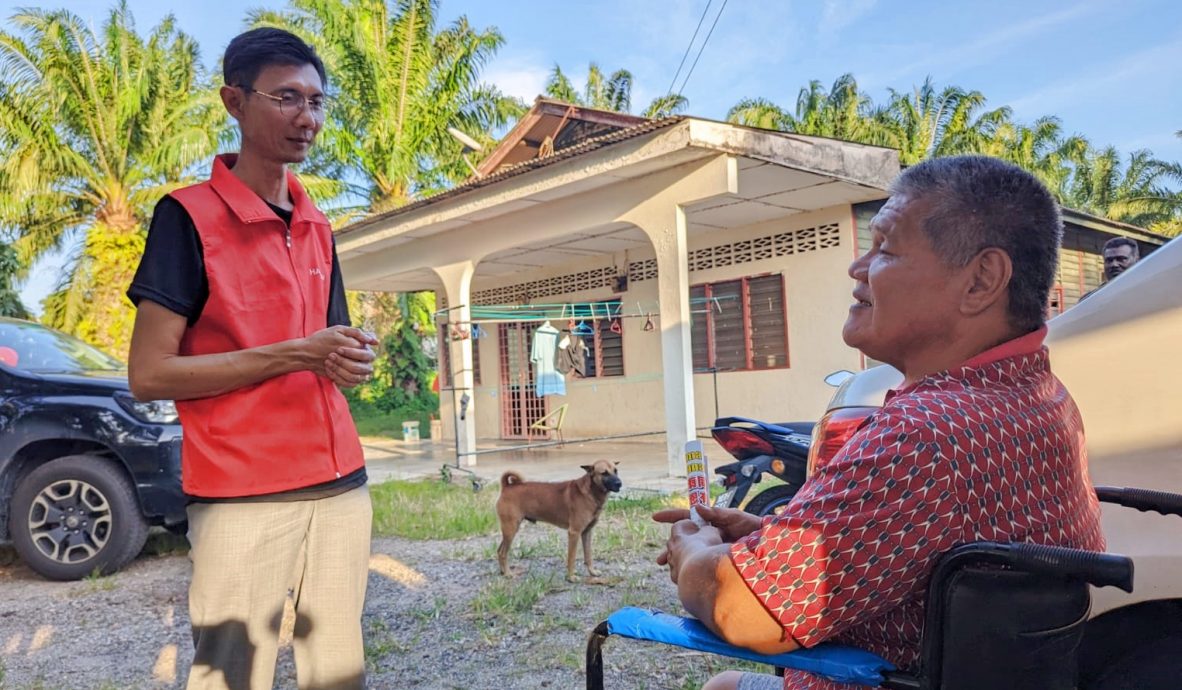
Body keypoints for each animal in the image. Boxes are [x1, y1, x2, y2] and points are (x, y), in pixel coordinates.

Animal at [494, 460, 624, 578]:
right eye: (604, 473)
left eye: (616, 471)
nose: (619, 483)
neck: (590, 492)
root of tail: (507, 487)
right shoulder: (574, 533)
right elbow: (571, 558)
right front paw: (571, 577)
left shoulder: (587, 533)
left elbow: (588, 555)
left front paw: (592, 572)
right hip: (511, 529)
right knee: (503, 553)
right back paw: (508, 573)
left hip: (509, 531)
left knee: (499, 550)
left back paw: (502, 571)